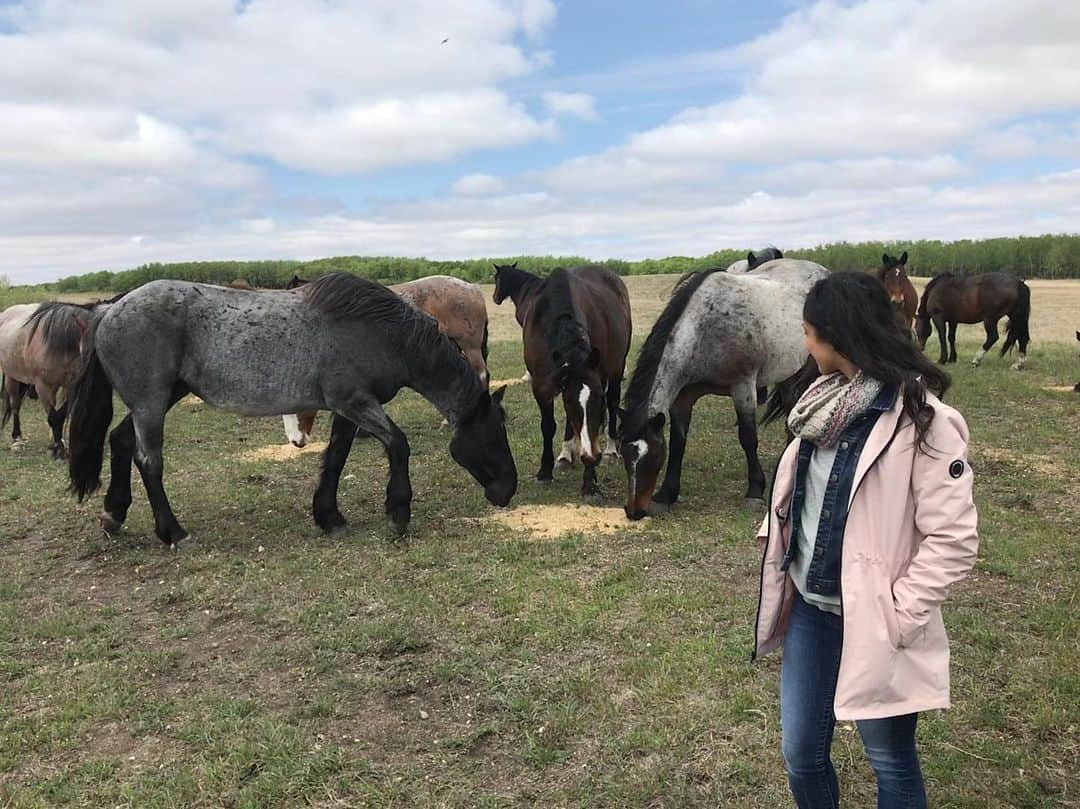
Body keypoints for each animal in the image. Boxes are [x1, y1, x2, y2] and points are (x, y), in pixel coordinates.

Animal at [0, 302, 100, 457]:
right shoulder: (42, 384)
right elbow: (53, 416)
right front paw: (58, 448)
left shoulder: (70, 385)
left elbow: (61, 415)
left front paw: (58, 444)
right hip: (12, 377)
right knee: (15, 404)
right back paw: (17, 438)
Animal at [492, 262, 630, 494]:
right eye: (570, 401)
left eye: (598, 401)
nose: (494, 297)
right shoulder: (542, 385)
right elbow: (549, 426)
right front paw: (545, 471)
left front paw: (590, 481)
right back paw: (566, 453)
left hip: (616, 368)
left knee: (613, 402)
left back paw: (611, 449)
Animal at [617, 262, 825, 520]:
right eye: (624, 455)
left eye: (654, 456)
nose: (633, 511)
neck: (703, 330)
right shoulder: (682, 398)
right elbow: (678, 443)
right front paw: (666, 494)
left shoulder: (743, 388)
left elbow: (748, 438)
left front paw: (755, 491)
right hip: (788, 369)